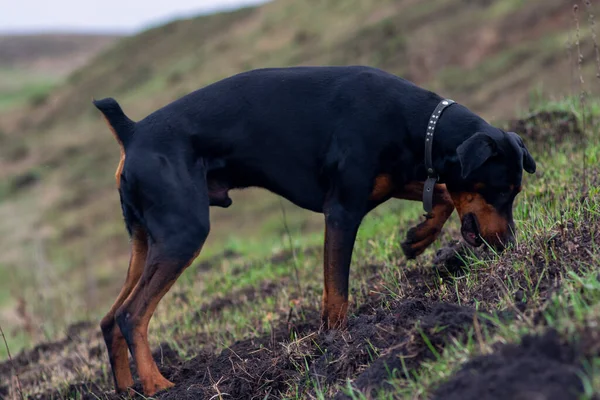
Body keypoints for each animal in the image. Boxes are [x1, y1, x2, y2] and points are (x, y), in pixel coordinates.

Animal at [94, 65, 536, 394]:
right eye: (500, 189)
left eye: (516, 191)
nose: (509, 244)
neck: (417, 124)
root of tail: (132, 131)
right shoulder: (342, 210)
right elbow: (337, 293)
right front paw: (337, 344)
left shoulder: (392, 180)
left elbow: (442, 194)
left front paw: (418, 239)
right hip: (184, 233)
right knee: (132, 315)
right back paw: (156, 385)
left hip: (147, 241)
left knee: (110, 319)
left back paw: (126, 388)